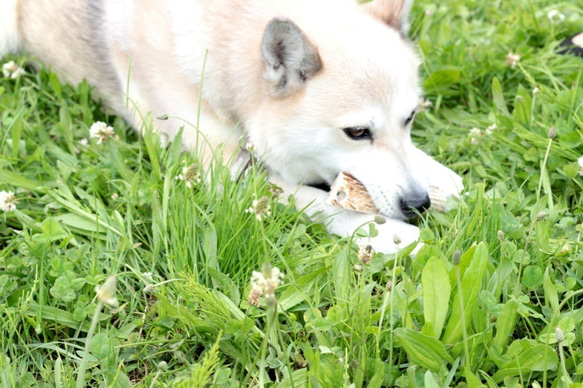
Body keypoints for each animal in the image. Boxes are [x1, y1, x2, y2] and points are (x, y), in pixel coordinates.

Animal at [1, 0, 466, 253]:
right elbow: (322, 204)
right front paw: (391, 236)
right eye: (356, 133)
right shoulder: (226, 174)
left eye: (410, 119)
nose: (418, 204)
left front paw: (441, 178)